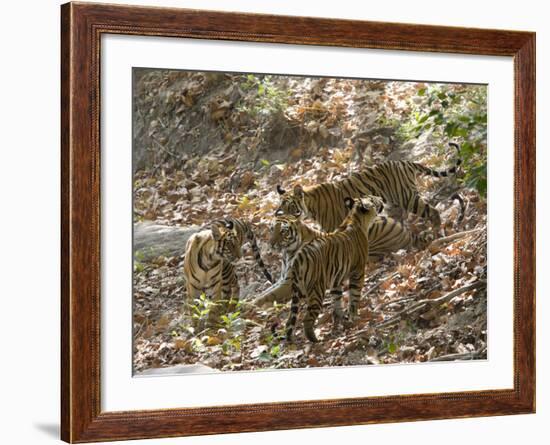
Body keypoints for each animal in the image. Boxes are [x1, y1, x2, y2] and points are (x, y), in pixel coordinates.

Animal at [274, 142, 462, 232]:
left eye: (291, 207)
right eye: (281, 208)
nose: (282, 218)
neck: (310, 206)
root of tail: (404, 162)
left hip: (407, 197)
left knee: (433, 212)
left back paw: (438, 232)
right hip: (393, 204)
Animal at [280, 196, 384, 342]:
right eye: (373, 199)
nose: (380, 198)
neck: (355, 218)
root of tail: (299, 257)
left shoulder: (336, 279)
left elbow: (337, 299)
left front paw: (341, 318)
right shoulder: (358, 271)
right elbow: (354, 296)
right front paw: (353, 317)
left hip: (298, 290)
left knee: (289, 321)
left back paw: (290, 340)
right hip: (316, 290)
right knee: (307, 318)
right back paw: (314, 340)